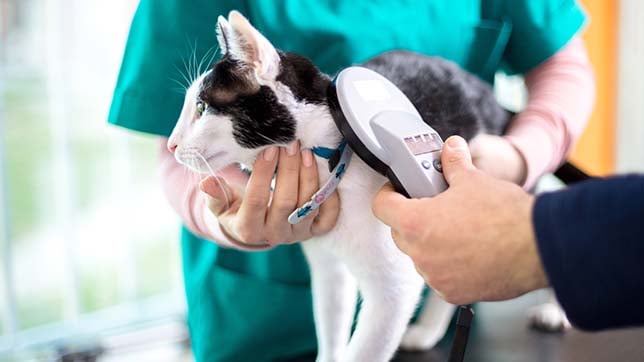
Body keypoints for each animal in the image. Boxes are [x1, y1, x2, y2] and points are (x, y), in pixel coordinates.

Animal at [169, 11, 510, 362]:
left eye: (200, 108)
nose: (171, 145)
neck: (332, 162)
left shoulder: (394, 291)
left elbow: (365, 349)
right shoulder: (328, 269)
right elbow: (331, 325)